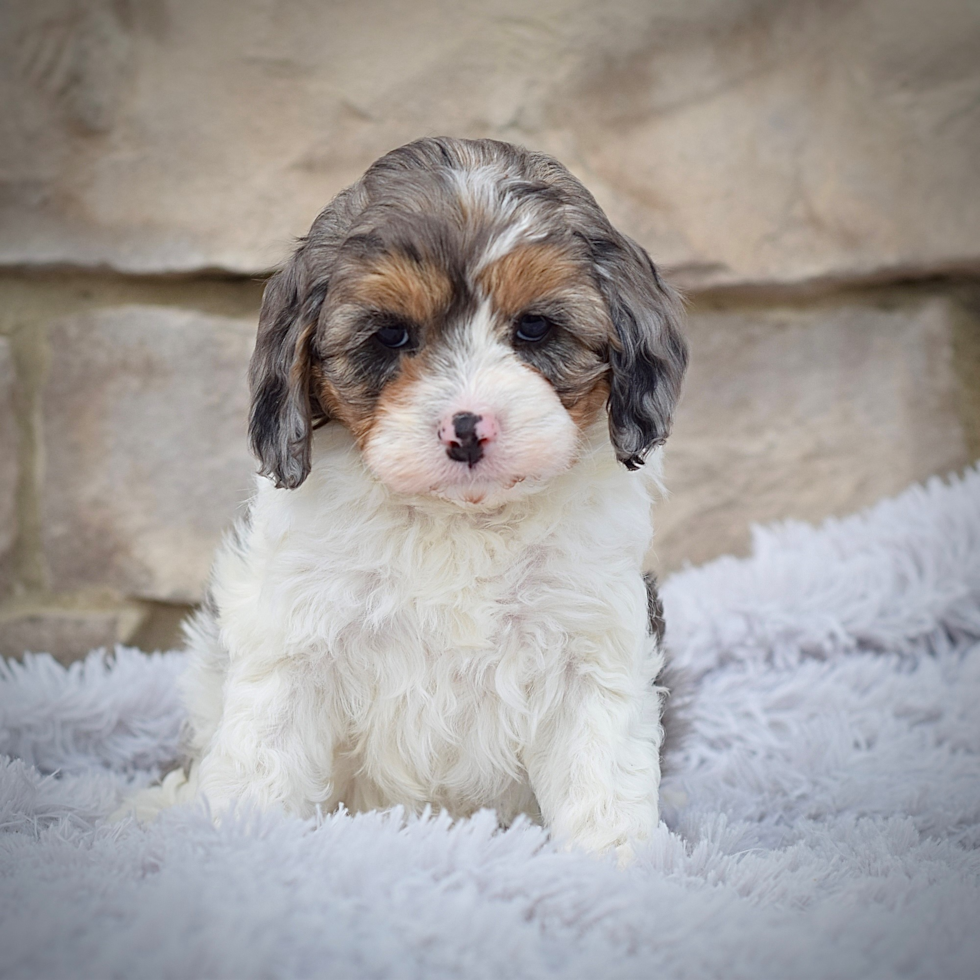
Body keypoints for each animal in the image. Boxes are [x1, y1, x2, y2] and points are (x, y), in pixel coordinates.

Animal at [145, 136, 684, 856]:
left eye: (534, 328)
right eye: (391, 335)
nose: (467, 430)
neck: (456, 521)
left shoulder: (590, 643)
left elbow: (603, 773)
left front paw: (620, 865)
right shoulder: (297, 639)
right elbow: (263, 761)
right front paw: (240, 845)